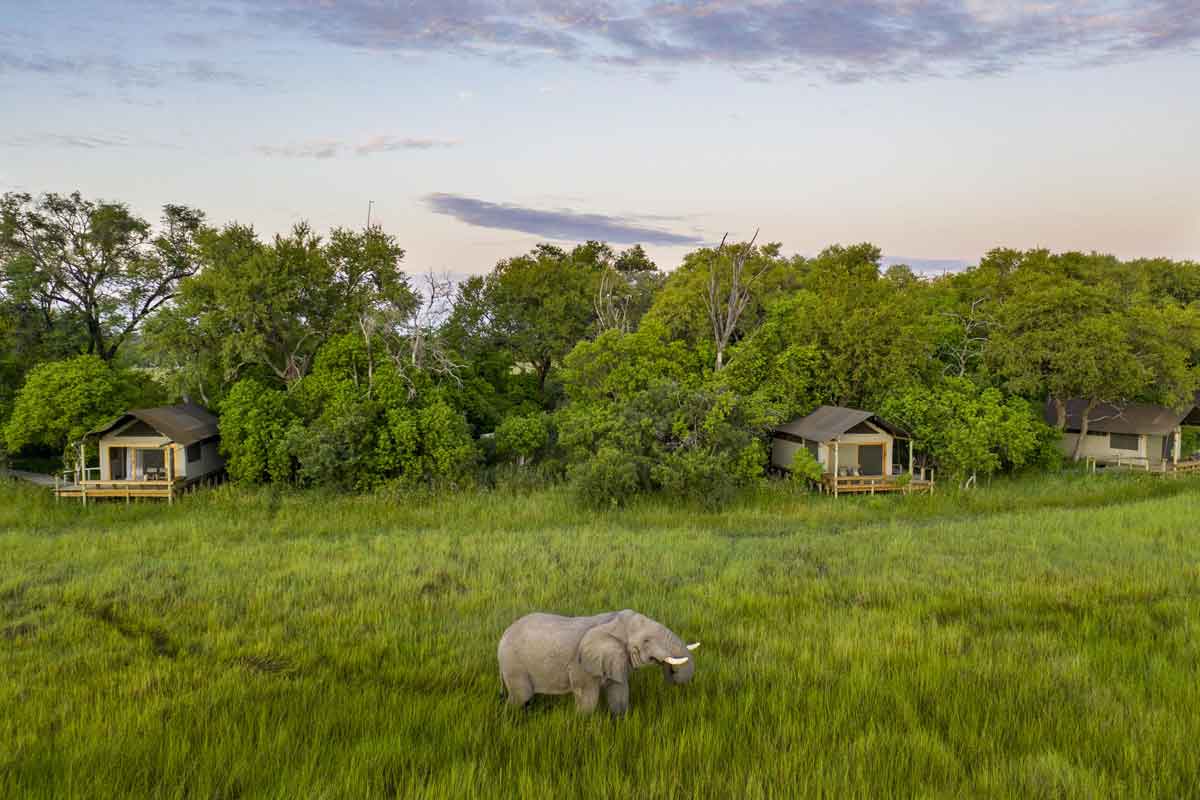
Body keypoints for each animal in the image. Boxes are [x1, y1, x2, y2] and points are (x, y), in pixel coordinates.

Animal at [499, 609, 700, 714]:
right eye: (646, 641)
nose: (671, 672)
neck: (613, 621)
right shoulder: (581, 665)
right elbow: (588, 699)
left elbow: (619, 691)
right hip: (513, 664)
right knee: (521, 696)